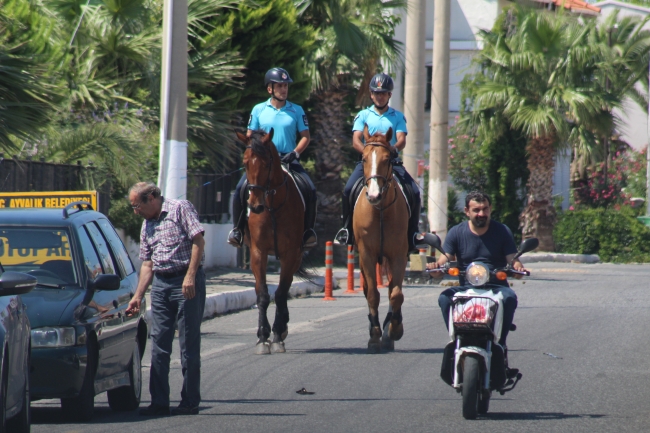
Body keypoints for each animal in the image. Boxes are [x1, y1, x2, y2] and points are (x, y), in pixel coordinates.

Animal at [234, 129, 302, 354]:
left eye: (266, 164)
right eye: (245, 162)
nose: (255, 206)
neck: (272, 205)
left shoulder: (290, 254)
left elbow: (280, 293)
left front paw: (277, 335)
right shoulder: (258, 252)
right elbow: (263, 294)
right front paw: (263, 338)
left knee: (285, 288)